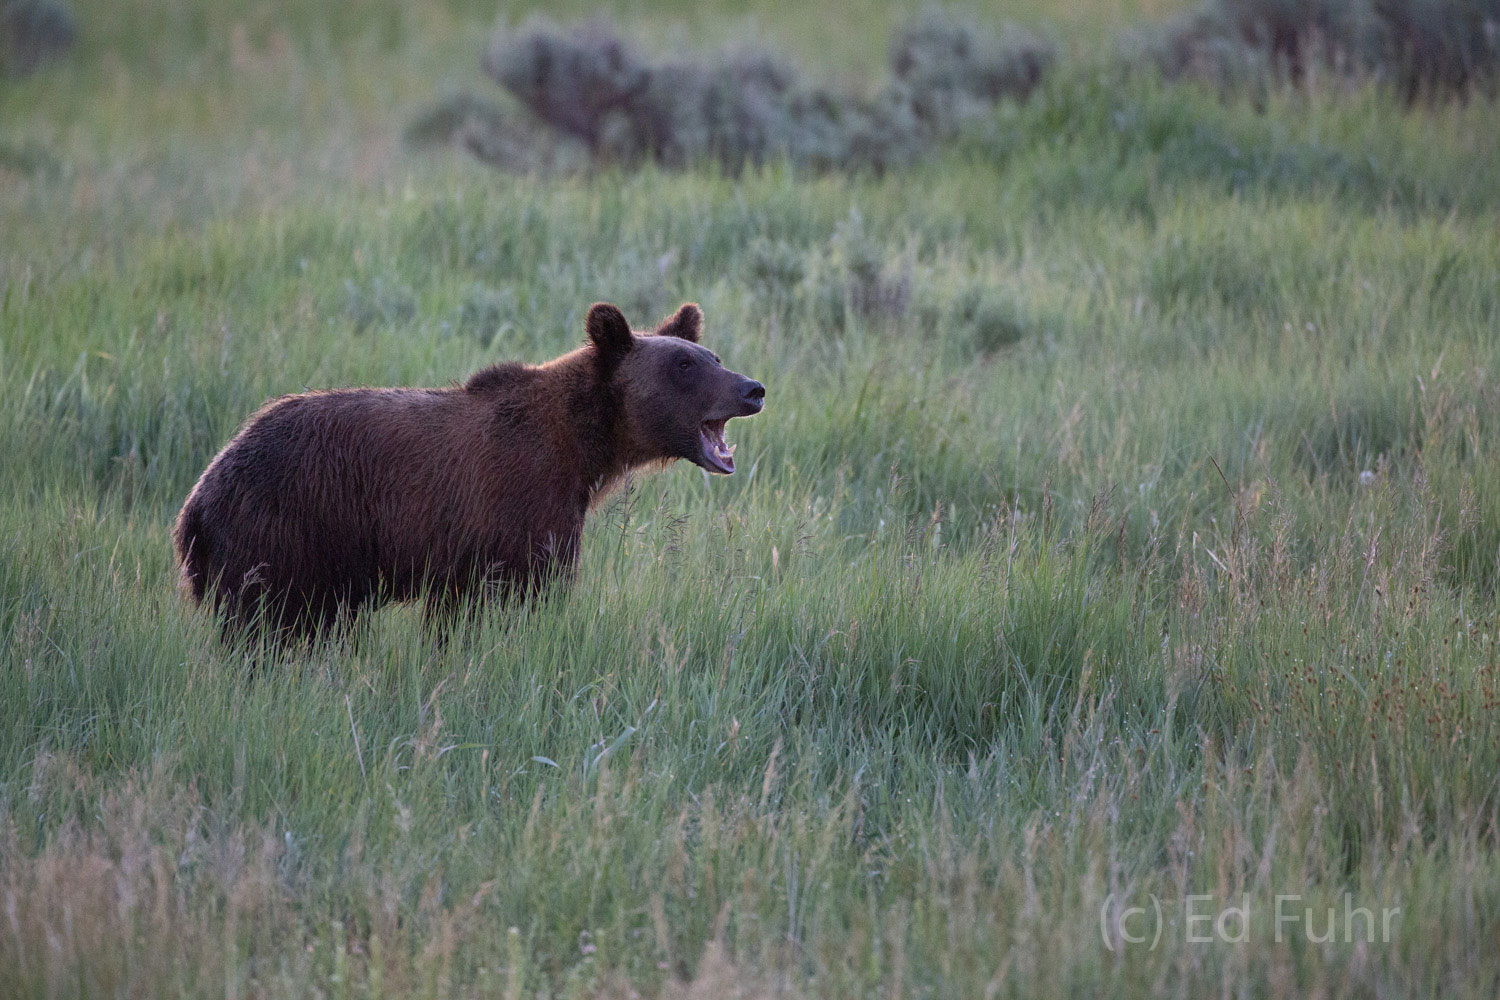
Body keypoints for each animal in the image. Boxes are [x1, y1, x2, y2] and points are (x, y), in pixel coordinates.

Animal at [172, 301, 762, 638]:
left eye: (711, 355)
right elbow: (509, 600)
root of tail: (195, 504)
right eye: (683, 364)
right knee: (268, 631)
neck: (581, 449)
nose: (752, 388)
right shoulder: (515, 510)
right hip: (283, 533)